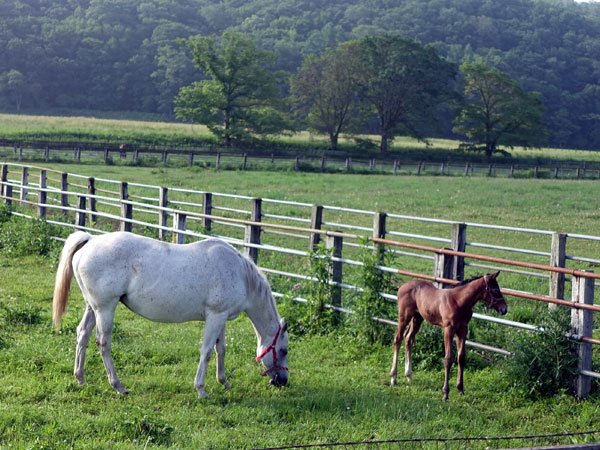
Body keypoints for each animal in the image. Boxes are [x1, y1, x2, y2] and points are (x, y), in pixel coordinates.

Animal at [52, 232, 288, 398]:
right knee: (103, 343)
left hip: (92, 307)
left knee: (82, 334)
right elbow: (206, 352)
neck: (239, 273)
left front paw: (224, 381)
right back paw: (118, 386)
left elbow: (221, 349)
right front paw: (201, 390)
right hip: (105, 308)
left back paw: (80, 378)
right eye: (284, 350)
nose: (283, 381)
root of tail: (91, 240)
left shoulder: (221, 318)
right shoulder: (215, 317)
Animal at [390, 270, 506, 400]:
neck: (458, 301)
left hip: (417, 318)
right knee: (398, 338)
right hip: (404, 316)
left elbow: (461, 357)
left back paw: (409, 376)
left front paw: (460, 389)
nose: (504, 309)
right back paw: (393, 378)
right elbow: (448, 358)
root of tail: (402, 286)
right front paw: (445, 393)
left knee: (408, 338)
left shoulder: (463, 330)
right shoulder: (448, 329)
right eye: (495, 290)